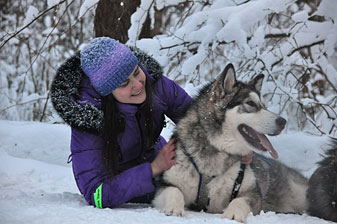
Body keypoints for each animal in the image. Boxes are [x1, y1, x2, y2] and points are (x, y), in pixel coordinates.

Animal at [152, 64, 308, 223]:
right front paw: (174, 208)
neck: (217, 149)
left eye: (264, 106)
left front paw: (233, 214)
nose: (283, 122)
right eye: (251, 103)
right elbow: (174, 190)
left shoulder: (252, 192)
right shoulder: (165, 185)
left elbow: (240, 201)